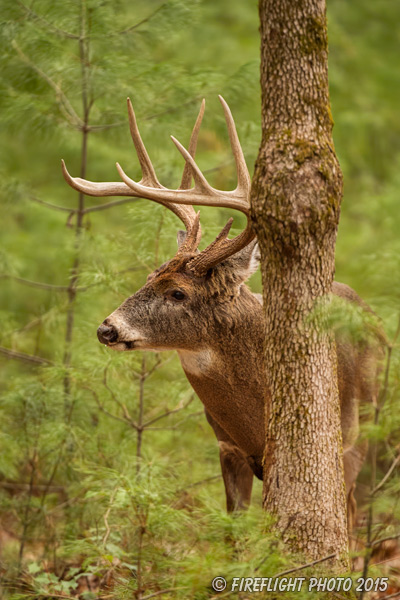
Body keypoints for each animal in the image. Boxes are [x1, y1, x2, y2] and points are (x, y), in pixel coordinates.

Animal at [62, 96, 382, 528]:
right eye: (149, 275)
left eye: (178, 292)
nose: (106, 329)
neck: (253, 416)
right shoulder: (226, 446)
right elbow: (233, 530)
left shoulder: (340, 445)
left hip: (364, 425)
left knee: (354, 507)